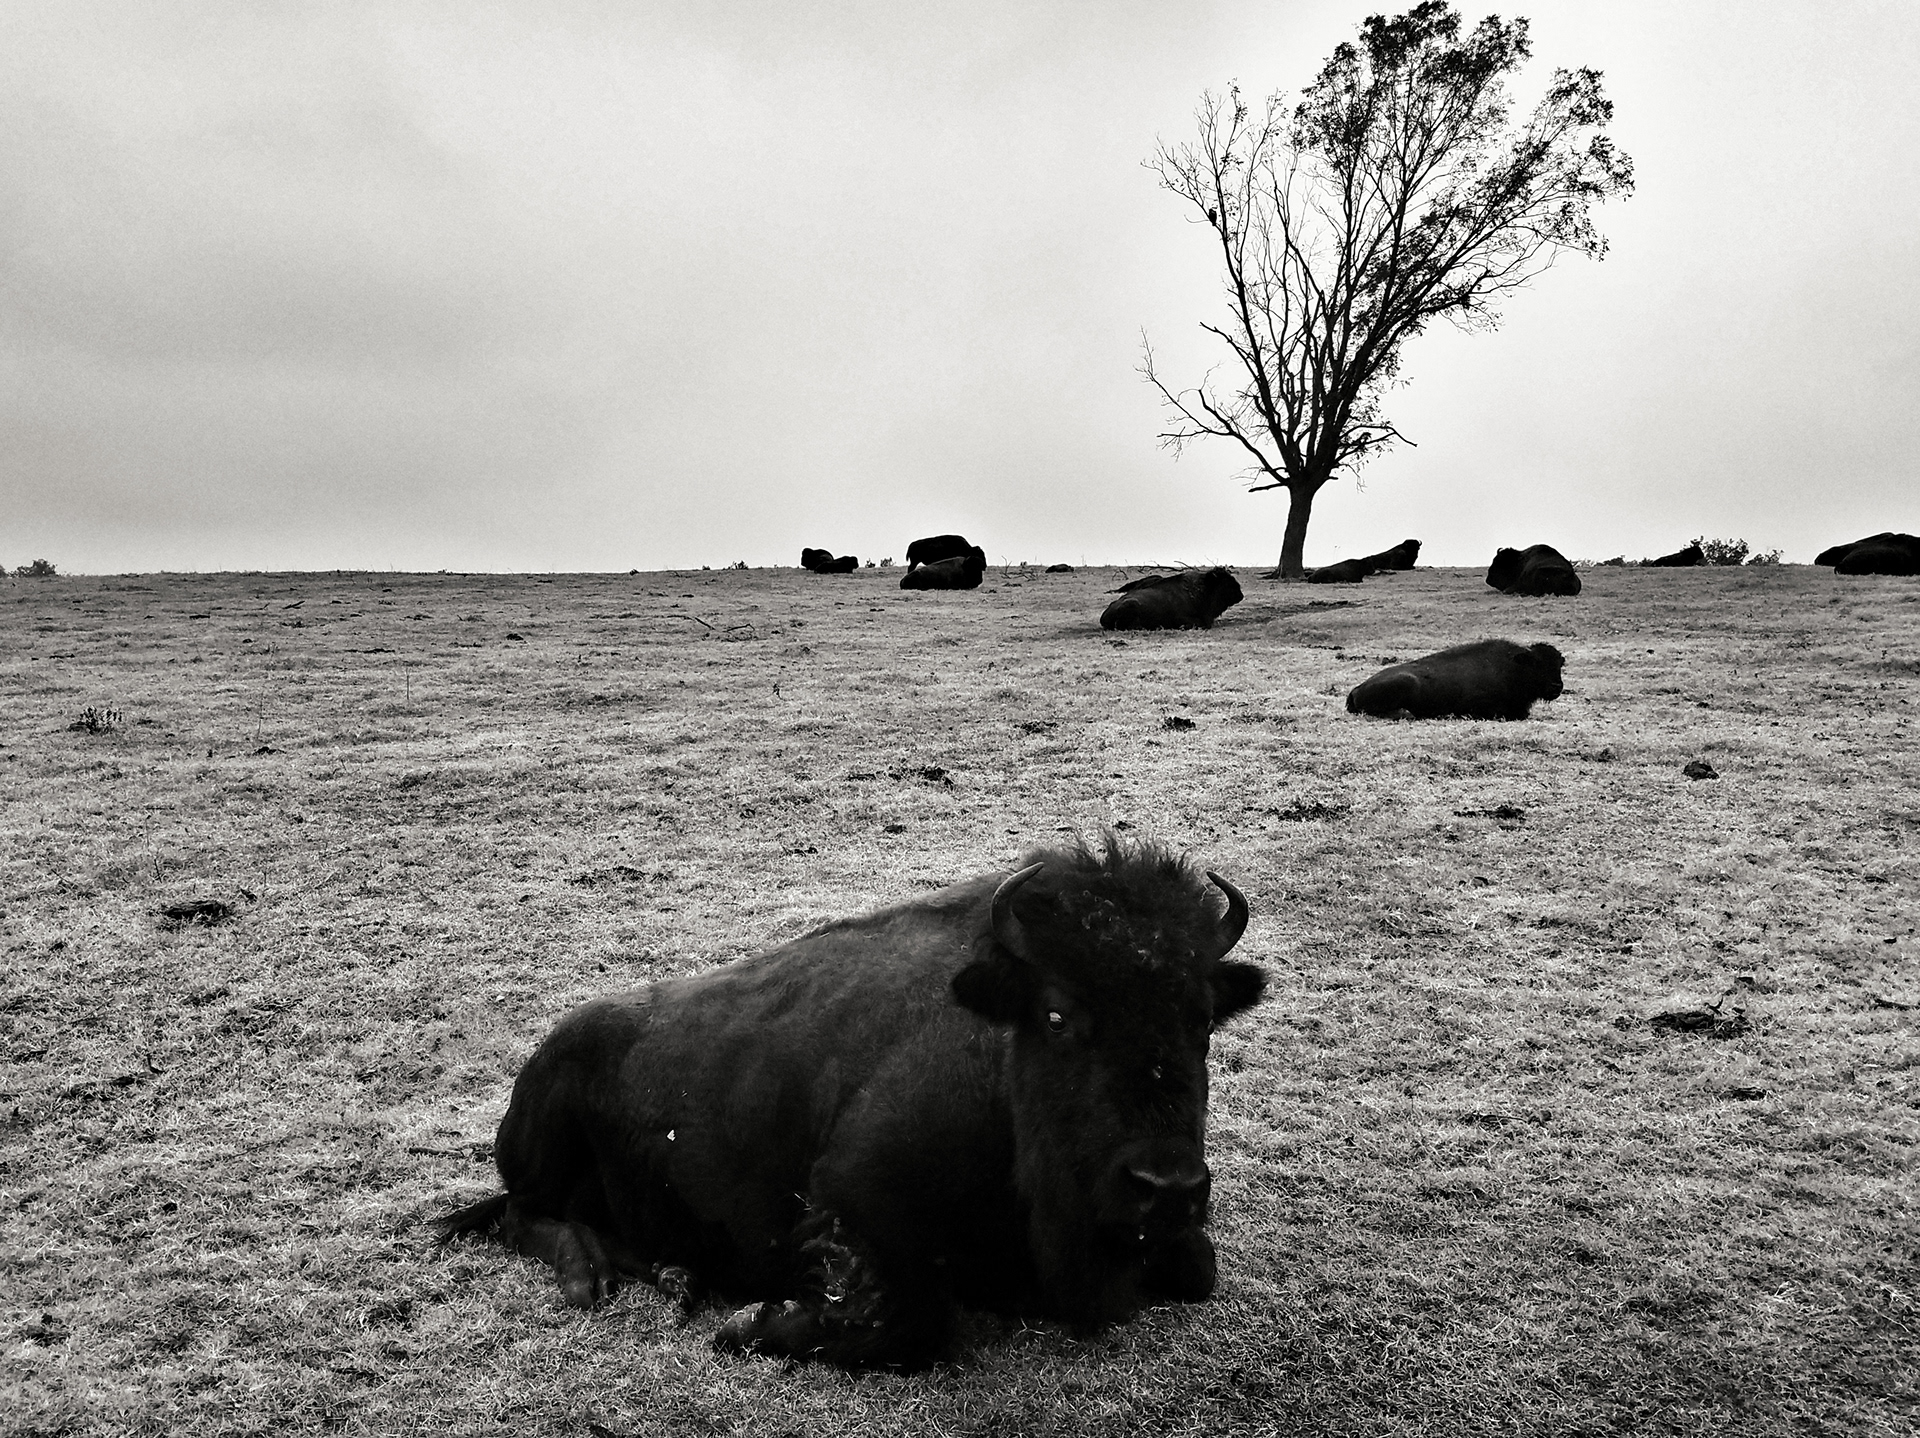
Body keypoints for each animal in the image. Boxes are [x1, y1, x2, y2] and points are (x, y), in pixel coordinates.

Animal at [435, 837, 1265, 1370]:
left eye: (1201, 1021)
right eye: (1057, 1015)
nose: (1167, 1188)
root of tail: (553, 1045)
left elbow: (1200, 1269)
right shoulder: (853, 1209)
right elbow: (913, 1326)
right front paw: (751, 1323)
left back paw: (675, 1275)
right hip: (543, 1142)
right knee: (520, 1215)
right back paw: (593, 1277)